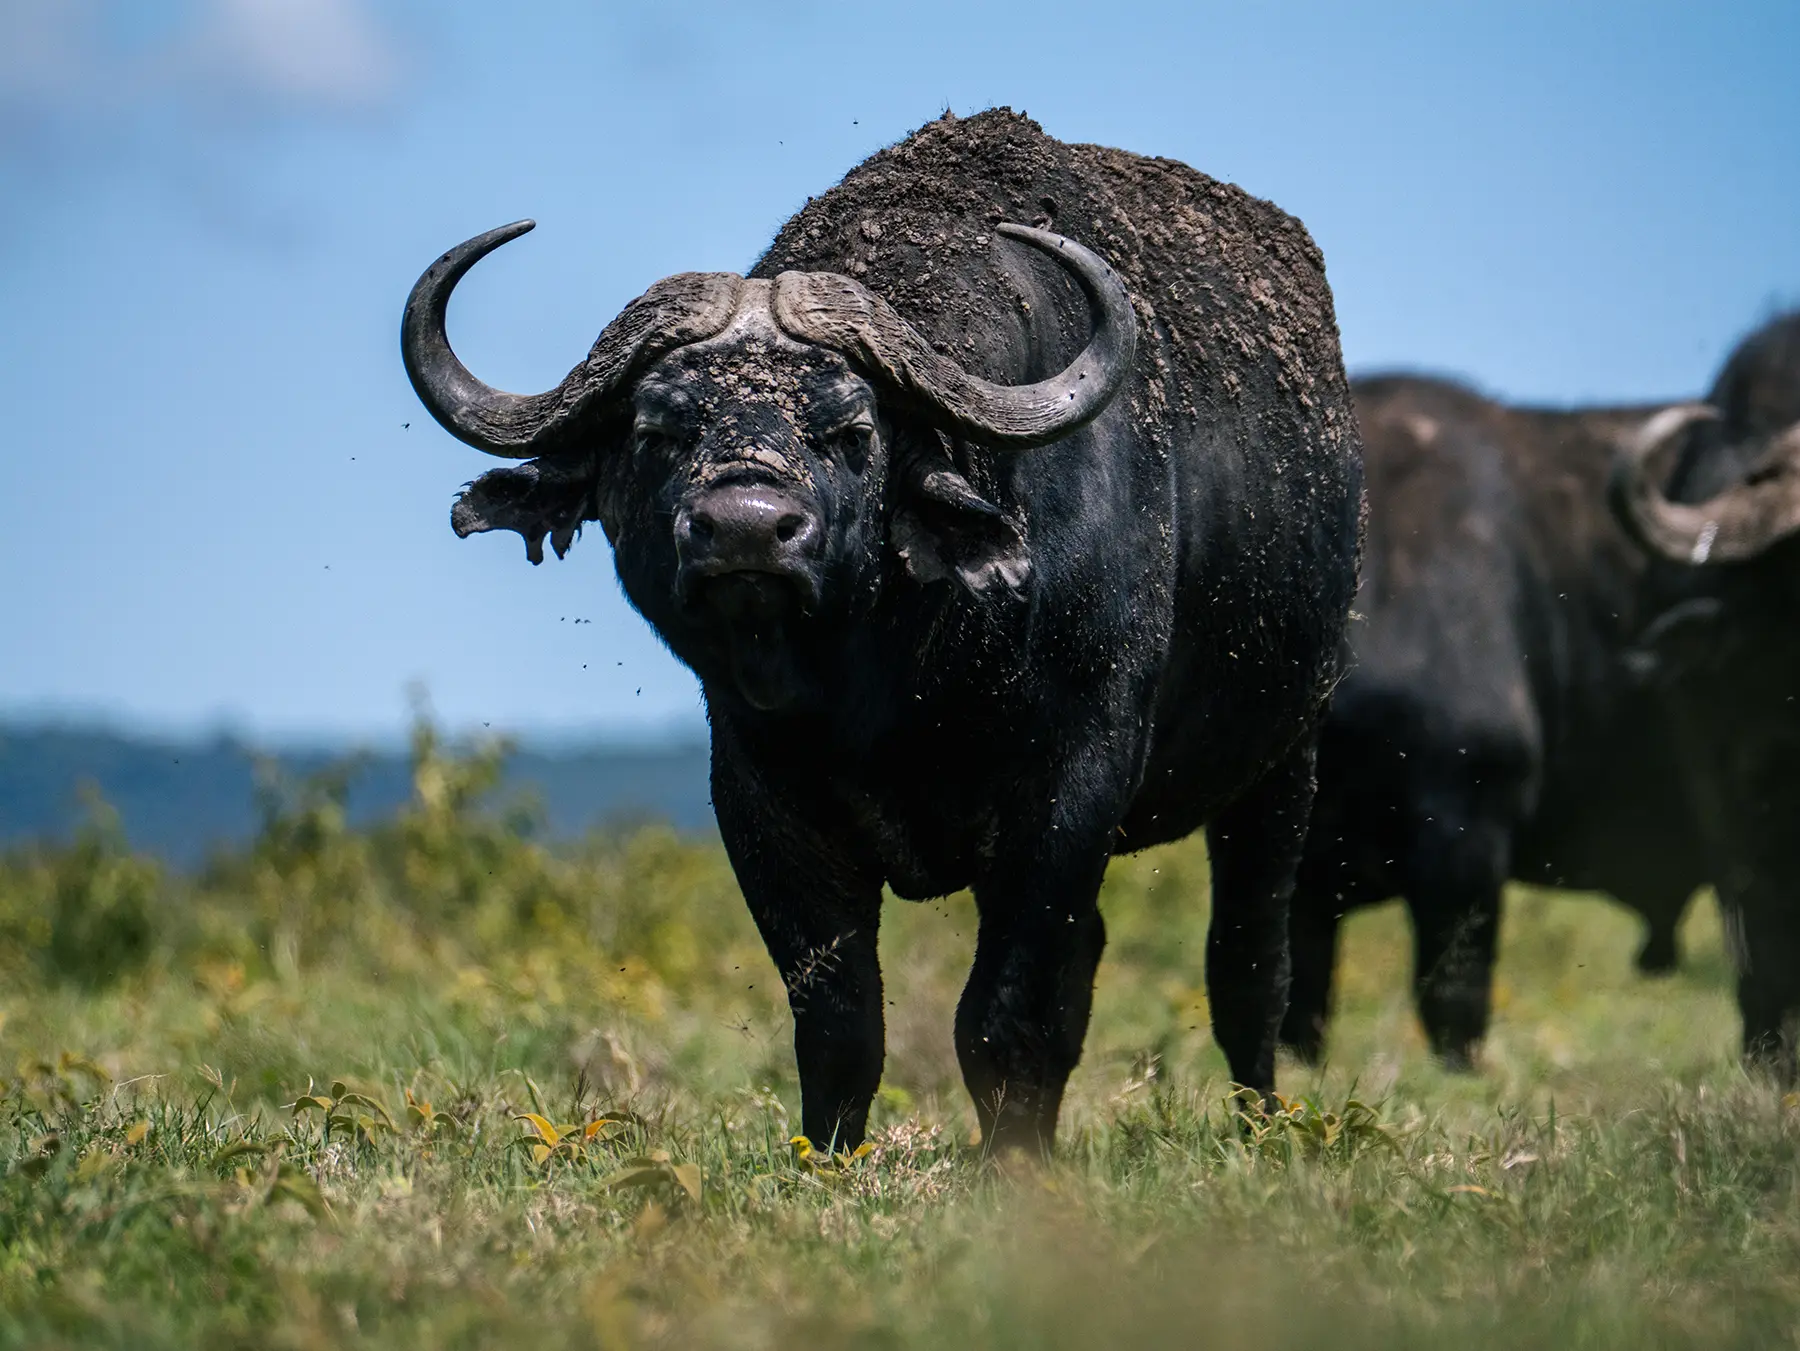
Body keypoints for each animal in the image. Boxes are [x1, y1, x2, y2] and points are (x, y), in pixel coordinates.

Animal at [401, 109, 1364, 1154]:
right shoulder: (761, 797)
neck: (898, 680)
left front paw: (1008, 1165)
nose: (748, 527)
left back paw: (1261, 1121)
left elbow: (1006, 1014)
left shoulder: (1071, 788)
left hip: (1285, 763)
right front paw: (833, 1157)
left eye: (851, 430)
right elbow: (839, 1019)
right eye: (659, 428)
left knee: (1248, 964)